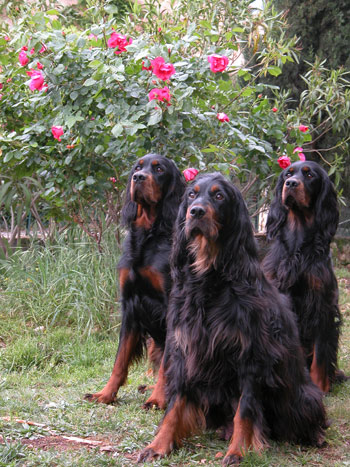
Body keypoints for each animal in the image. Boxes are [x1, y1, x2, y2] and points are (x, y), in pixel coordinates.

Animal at [84, 154, 186, 410]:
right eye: (138, 167)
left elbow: (167, 364)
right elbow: (120, 360)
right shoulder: (130, 304)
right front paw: (106, 394)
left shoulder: (171, 306)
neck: (148, 236)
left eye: (159, 169)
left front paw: (158, 399)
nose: (138, 178)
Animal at [138, 174, 326, 466]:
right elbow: (175, 403)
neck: (210, 277)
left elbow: (245, 410)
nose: (196, 212)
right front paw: (159, 444)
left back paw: (315, 436)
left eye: (219, 196)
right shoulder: (185, 350)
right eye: (191, 195)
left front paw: (239, 450)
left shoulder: (250, 357)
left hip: (303, 396)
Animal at [262, 161, 344, 394]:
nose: (290, 183)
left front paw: (320, 387)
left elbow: (321, 352)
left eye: (309, 175)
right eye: (287, 174)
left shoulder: (322, 303)